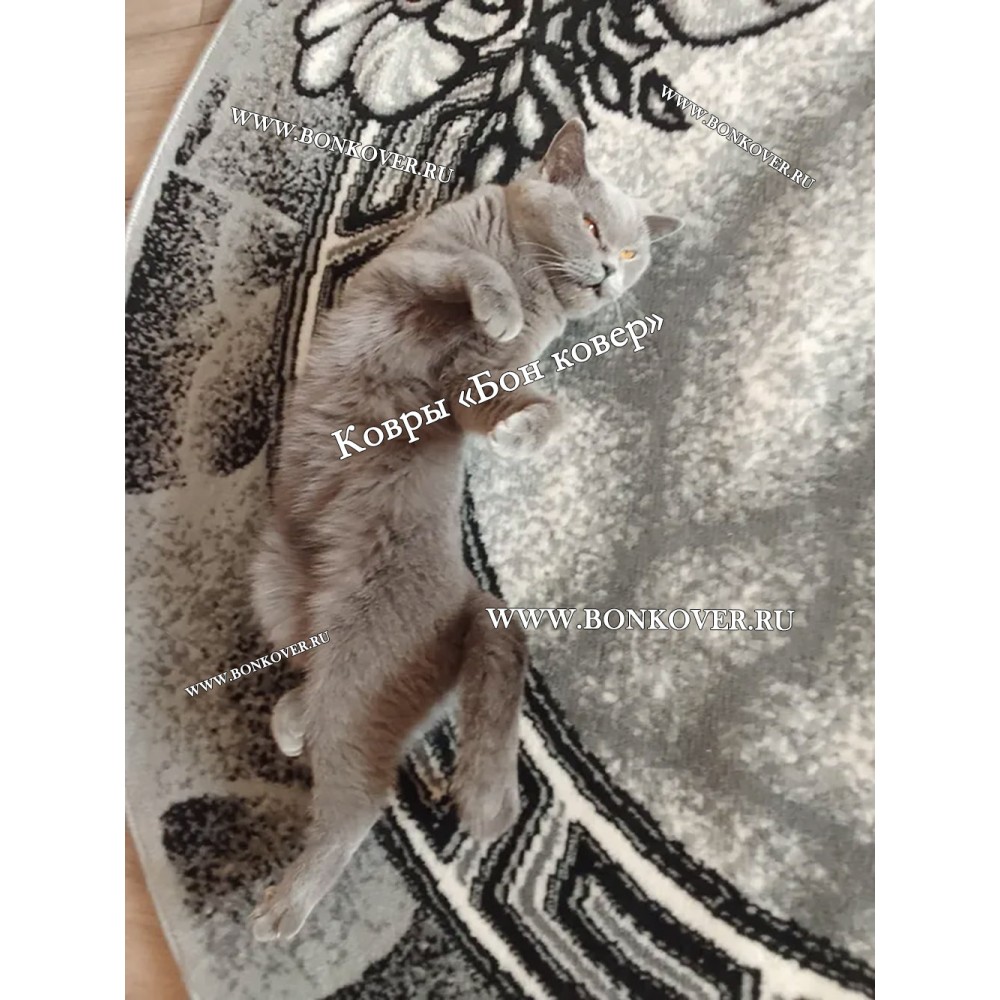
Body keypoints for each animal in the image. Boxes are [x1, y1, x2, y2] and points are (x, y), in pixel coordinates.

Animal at [249, 119, 681, 941]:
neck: (534, 271)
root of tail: (469, 600)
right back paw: (288, 729)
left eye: (633, 254)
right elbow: (471, 266)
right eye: (592, 228)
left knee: (359, 787)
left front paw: (531, 426)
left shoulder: (464, 356)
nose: (611, 275)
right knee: (310, 688)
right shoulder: (412, 265)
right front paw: (502, 311)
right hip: (277, 588)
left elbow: (496, 388)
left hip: (362, 659)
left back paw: (284, 907)